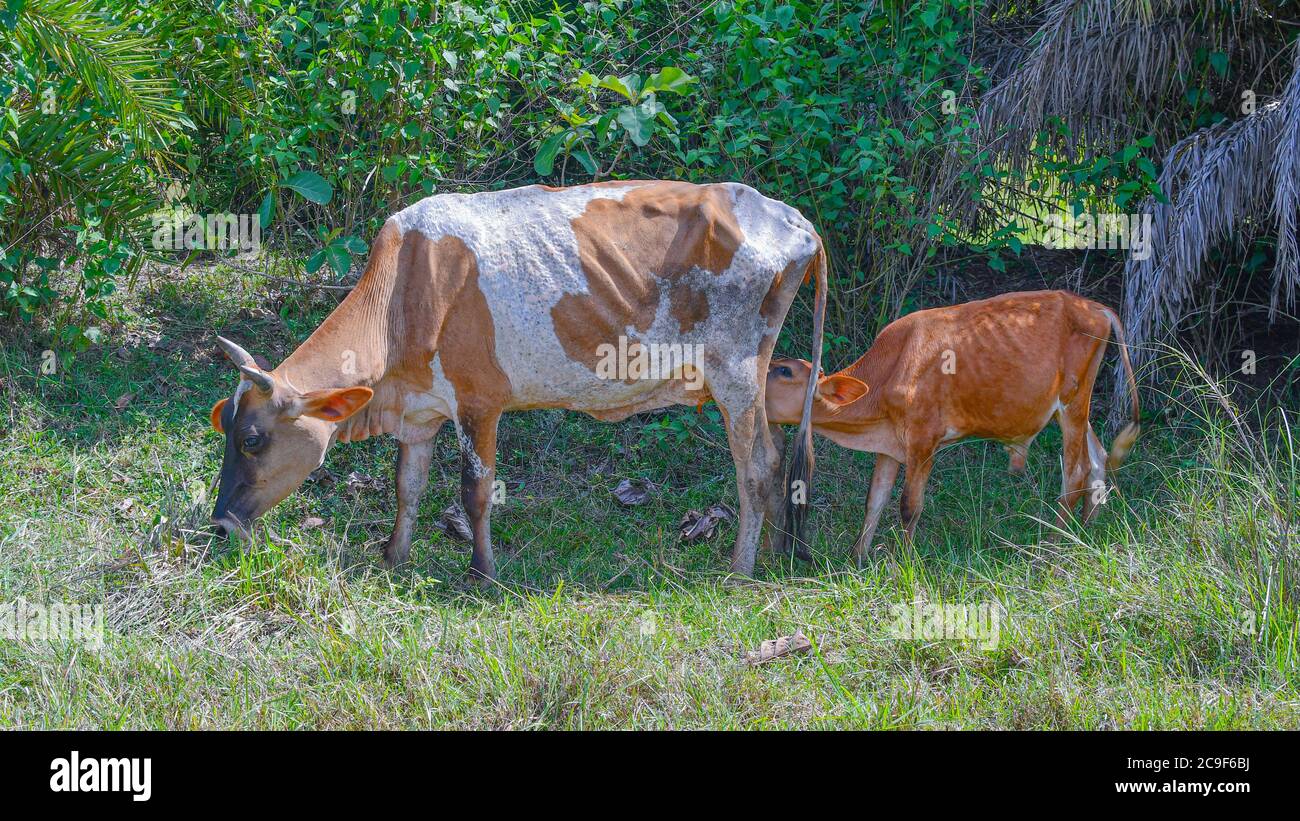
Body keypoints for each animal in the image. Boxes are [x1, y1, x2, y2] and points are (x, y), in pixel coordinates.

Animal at [208, 180, 828, 580]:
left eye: (253, 439)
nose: (218, 525)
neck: (403, 292)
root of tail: (789, 217)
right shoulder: (420, 411)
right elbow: (408, 486)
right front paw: (393, 559)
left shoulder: (479, 402)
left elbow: (475, 491)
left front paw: (483, 574)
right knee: (777, 460)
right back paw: (777, 556)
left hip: (735, 373)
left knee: (755, 467)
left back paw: (741, 570)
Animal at [763, 290, 1140, 564]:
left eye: (783, 371)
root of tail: (1094, 306)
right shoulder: (890, 445)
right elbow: (875, 500)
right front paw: (857, 559)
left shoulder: (923, 441)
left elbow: (909, 506)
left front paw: (902, 564)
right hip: (1072, 409)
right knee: (1098, 460)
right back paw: (1085, 533)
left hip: (1073, 401)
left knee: (1075, 473)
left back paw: (1051, 545)